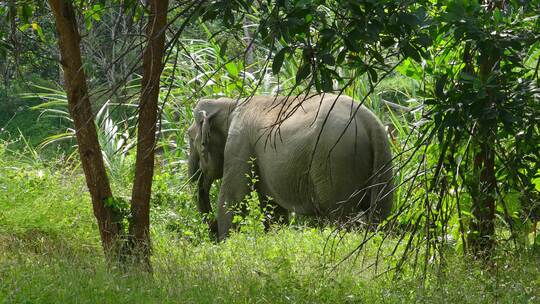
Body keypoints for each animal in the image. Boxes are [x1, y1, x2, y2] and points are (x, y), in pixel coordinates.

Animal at [188, 93, 394, 240]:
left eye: (190, 137)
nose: (213, 230)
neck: (229, 104)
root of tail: (370, 122)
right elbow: (272, 209)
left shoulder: (238, 145)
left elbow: (233, 199)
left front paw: (225, 242)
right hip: (382, 161)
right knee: (380, 215)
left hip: (336, 162)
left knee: (342, 216)